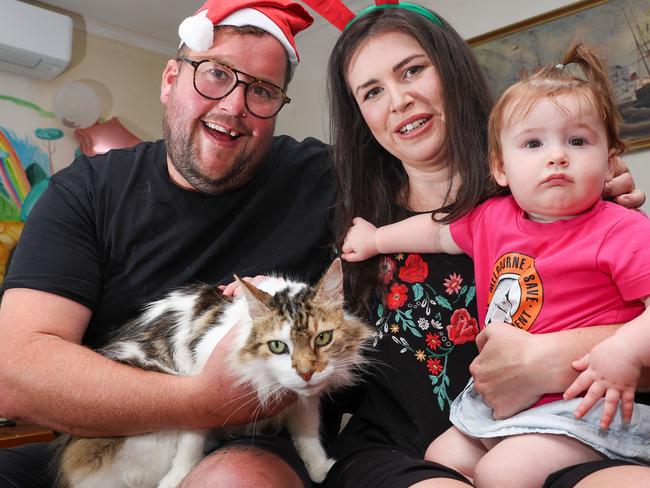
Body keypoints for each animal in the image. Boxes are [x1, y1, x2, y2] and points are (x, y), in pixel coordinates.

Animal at [55, 258, 370, 486]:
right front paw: (176, 479)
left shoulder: (306, 402)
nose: (306, 373)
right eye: (278, 346)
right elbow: (190, 443)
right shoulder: (200, 393)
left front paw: (320, 467)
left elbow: (307, 435)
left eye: (323, 338)